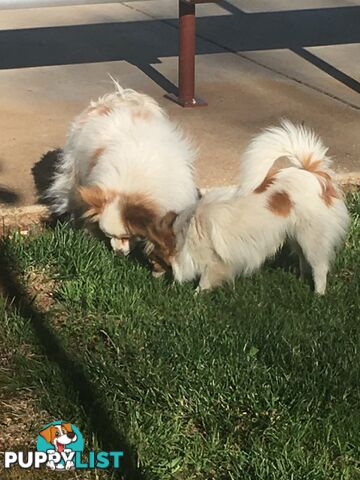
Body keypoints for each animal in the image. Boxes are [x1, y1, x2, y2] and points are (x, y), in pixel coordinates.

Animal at [145, 120, 350, 292]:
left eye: (154, 261)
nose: (152, 275)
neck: (183, 234)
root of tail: (316, 175)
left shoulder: (215, 260)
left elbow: (205, 280)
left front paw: (196, 294)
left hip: (312, 239)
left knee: (319, 267)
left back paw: (318, 294)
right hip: (296, 235)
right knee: (303, 259)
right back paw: (300, 280)